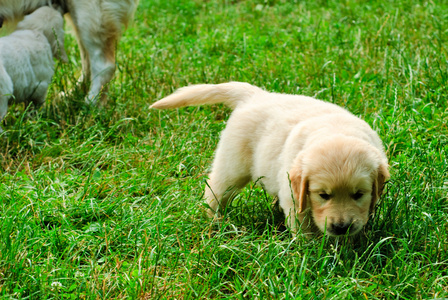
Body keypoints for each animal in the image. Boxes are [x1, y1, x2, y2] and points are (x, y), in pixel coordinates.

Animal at [151, 81, 388, 237]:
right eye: (323, 195)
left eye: (358, 195)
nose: (341, 228)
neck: (335, 130)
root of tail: (255, 95)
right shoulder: (294, 199)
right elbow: (304, 230)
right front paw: (313, 254)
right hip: (232, 167)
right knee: (215, 192)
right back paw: (214, 222)